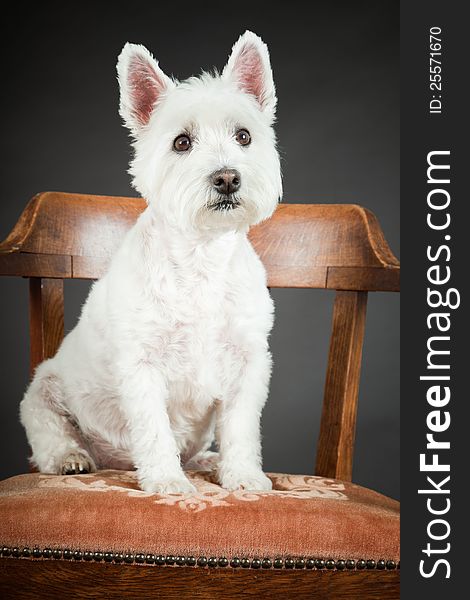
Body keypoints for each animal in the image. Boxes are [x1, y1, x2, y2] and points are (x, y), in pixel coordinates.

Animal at [20, 30, 280, 494]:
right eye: (182, 142)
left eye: (244, 136)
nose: (227, 178)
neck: (201, 256)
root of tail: (114, 462)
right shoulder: (142, 365)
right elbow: (154, 428)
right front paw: (166, 482)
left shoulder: (247, 361)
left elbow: (241, 426)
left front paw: (243, 475)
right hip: (43, 389)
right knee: (51, 437)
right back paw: (74, 459)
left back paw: (209, 462)